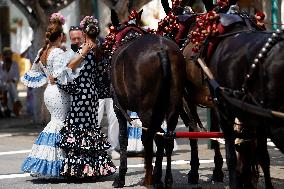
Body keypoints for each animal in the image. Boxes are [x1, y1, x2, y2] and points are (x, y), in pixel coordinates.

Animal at [110, 10, 187, 188]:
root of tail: (162, 50)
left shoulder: (119, 108)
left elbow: (123, 139)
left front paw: (121, 176)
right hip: (172, 107)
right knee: (166, 138)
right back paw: (164, 178)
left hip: (146, 111)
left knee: (151, 137)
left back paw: (151, 178)